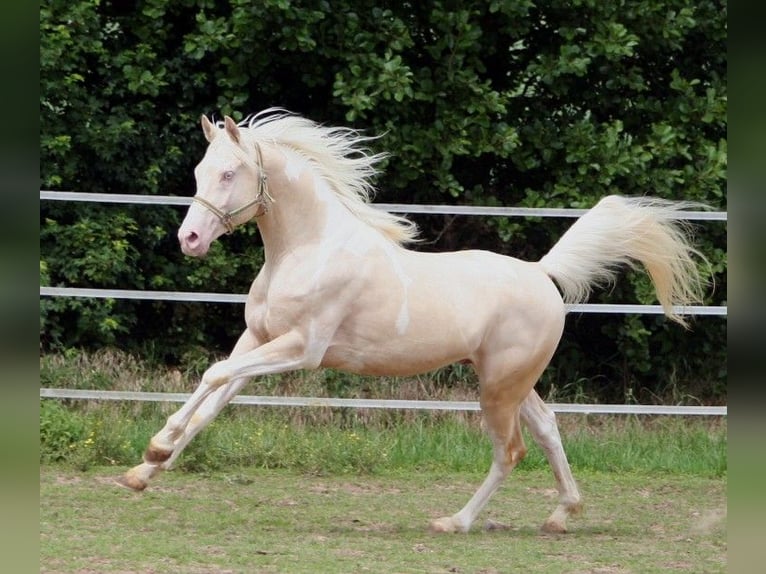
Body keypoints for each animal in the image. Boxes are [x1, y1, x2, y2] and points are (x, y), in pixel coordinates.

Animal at [115, 109, 708, 536]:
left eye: (229, 172)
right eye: (199, 172)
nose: (190, 239)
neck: (308, 248)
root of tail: (542, 274)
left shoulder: (300, 347)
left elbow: (212, 375)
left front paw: (156, 447)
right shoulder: (258, 338)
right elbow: (213, 401)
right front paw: (144, 471)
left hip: (498, 388)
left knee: (511, 450)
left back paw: (456, 522)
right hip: (511, 381)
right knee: (547, 428)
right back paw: (561, 515)